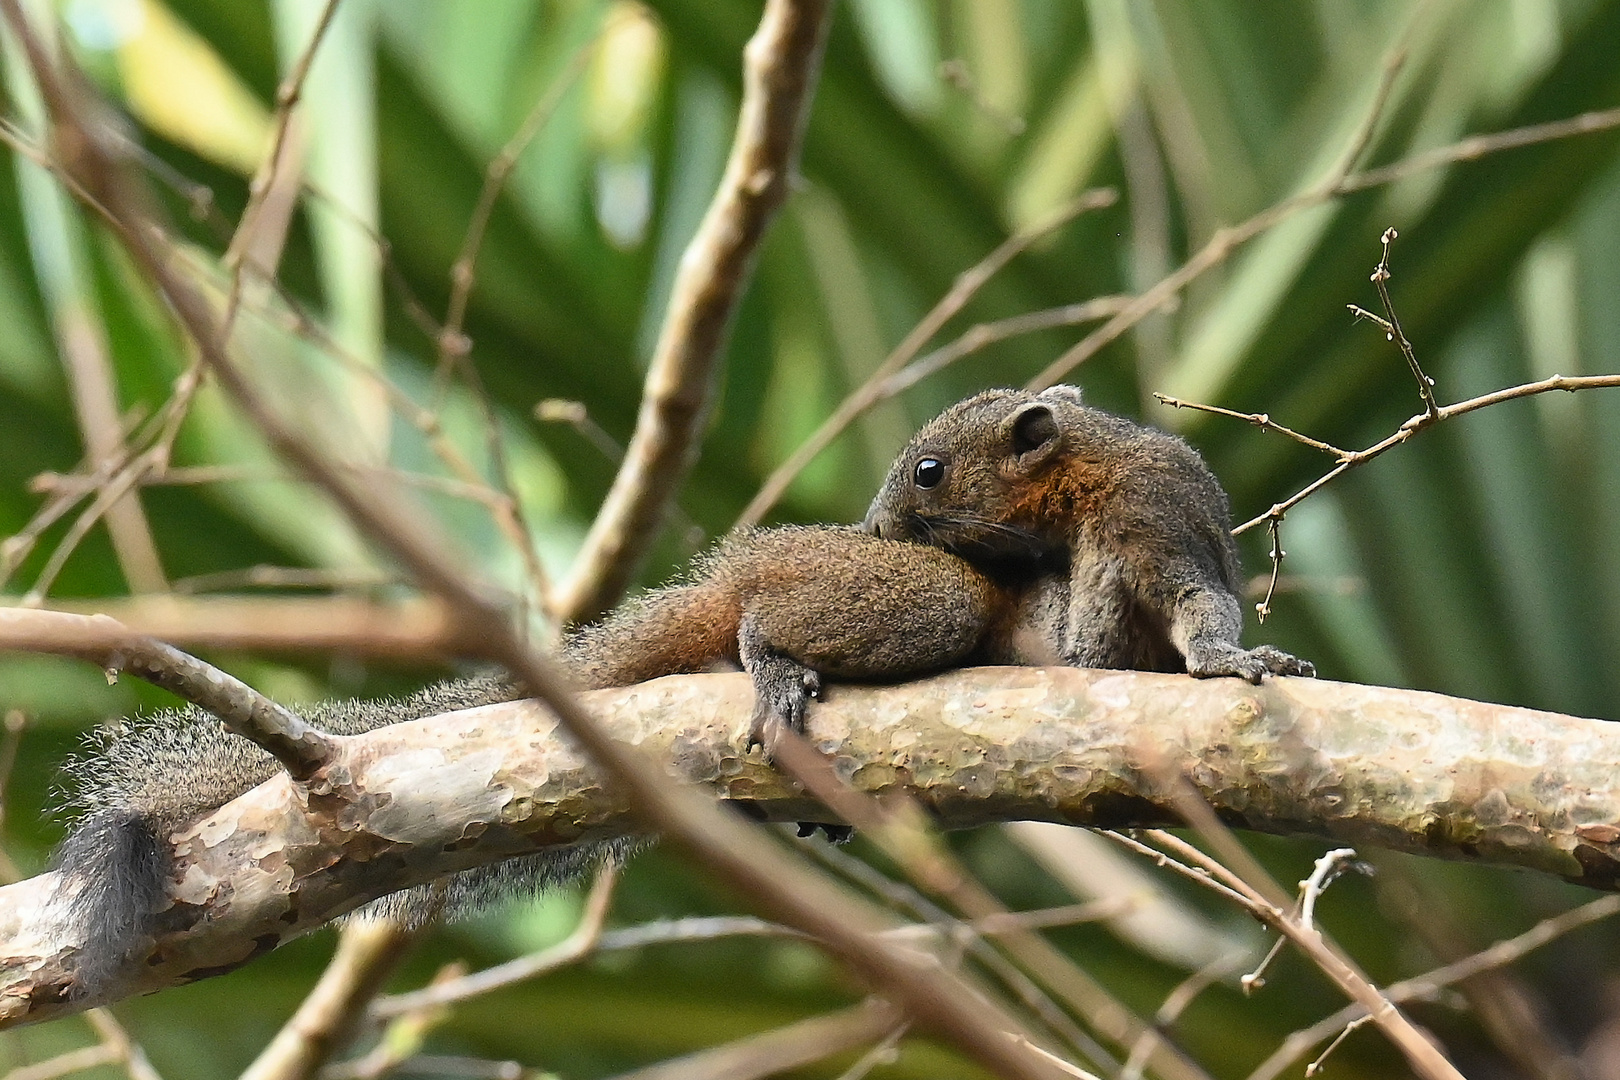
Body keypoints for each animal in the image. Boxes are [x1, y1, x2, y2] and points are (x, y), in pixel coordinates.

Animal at [861, 383, 1315, 680]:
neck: (1087, 480)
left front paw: (1222, 657)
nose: (874, 525)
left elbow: (1196, 596)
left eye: (928, 471)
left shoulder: (1149, 514)